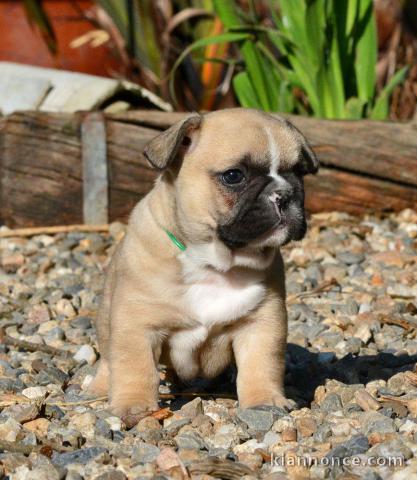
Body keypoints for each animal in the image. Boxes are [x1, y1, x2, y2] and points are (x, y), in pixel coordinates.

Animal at [89, 109, 318, 416]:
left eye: (298, 173)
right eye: (233, 176)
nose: (284, 194)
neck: (214, 263)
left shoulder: (262, 323)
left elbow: (261, 364)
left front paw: (264, 399)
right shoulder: (136, 324)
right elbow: (134, 365)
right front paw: (133, 404)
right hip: (105, 319)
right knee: (108, 357)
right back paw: (100, 387)